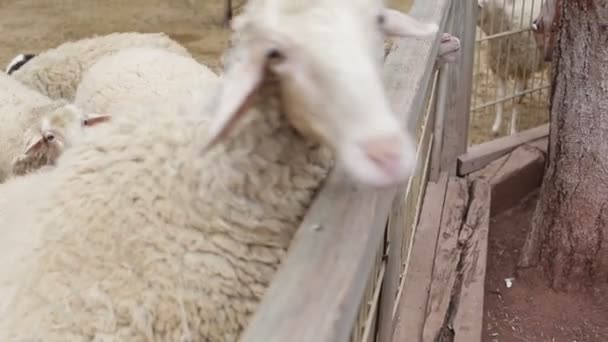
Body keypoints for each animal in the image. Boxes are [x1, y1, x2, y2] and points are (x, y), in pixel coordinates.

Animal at [480, 0, 548, 135]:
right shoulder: (501, 69)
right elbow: (500, 97)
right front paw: (496, 126)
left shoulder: (521, 70)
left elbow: (514, 100)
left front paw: (512, 130)